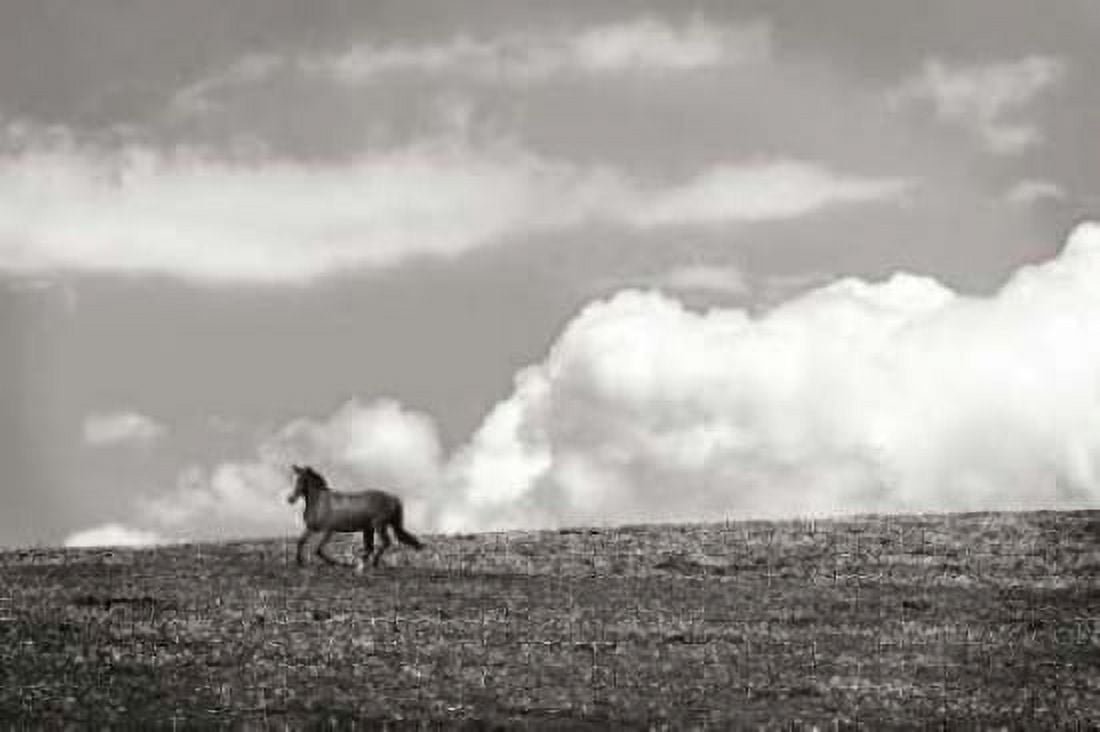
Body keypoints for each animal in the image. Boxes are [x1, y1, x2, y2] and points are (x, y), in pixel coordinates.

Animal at [287, 464, 424, 569]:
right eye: (296, 480)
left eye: (303, 480)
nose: (291, 499)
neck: (320, 502)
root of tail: (393, 498)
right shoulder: (311, 528)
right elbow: (300, 542)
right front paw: (299, 562)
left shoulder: (328, 530)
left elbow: (318, 550)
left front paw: (337, 563)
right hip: (369, 528)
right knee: (370, 547)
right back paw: (362, 562)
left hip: (379, 525)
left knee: (385, 542)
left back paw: (372, 563)